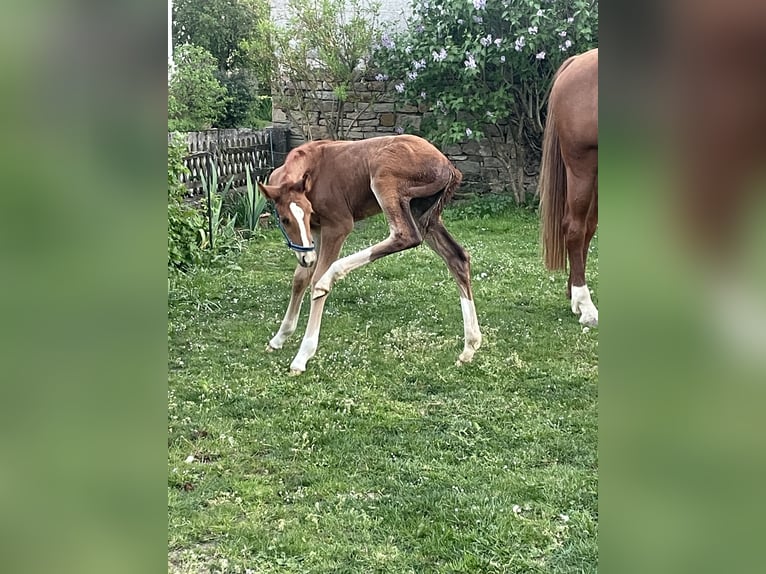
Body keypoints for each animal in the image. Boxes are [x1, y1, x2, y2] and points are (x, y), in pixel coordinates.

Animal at [258, 134, 482, 374]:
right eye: (285, 220)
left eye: (307, 213)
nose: (306, 258)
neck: (311, 167)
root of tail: (448, 166)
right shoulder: (316, 230)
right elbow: (300, 278)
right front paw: (279, 338)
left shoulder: (338, 226)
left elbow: (315, 279)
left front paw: (302, 356)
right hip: (422, 213)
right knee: (457, 257)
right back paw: (469, 347)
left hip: (384, 180)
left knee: (406, 236)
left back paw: (330, 277)